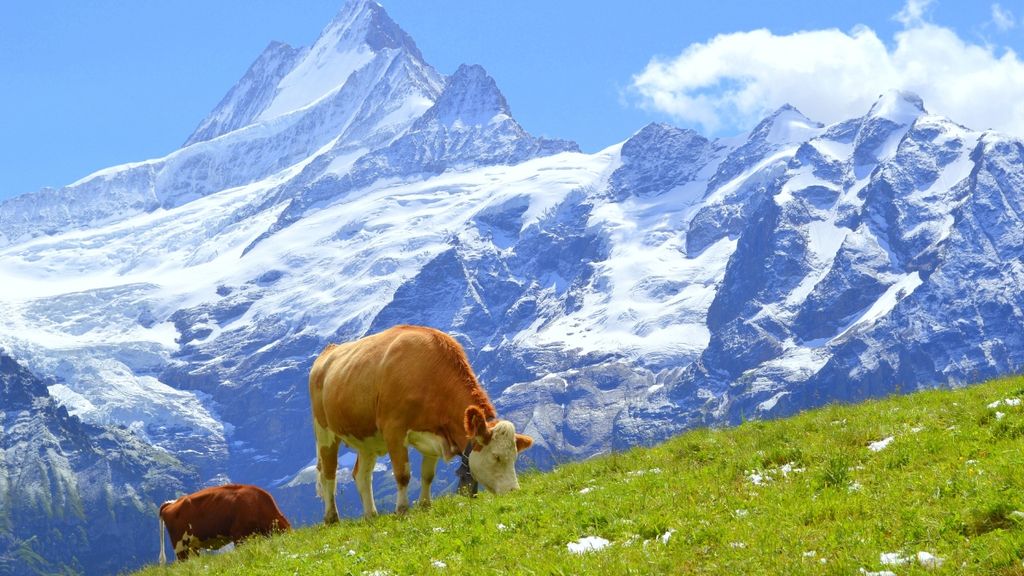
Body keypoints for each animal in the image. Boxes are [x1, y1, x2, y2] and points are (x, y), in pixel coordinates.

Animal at [309, 323, 536, 520]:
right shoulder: (394, 430)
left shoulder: (434, 434)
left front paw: (425, 505)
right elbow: (403, 475)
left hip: (366, 439)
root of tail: (329, 351)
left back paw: (371, 515)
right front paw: (402, 510)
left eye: (515, 457)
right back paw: (331, 518)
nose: (513, 490)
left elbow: (427, 475)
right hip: (324, 432)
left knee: (361, 475)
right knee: (328, 473)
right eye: (496, 457)